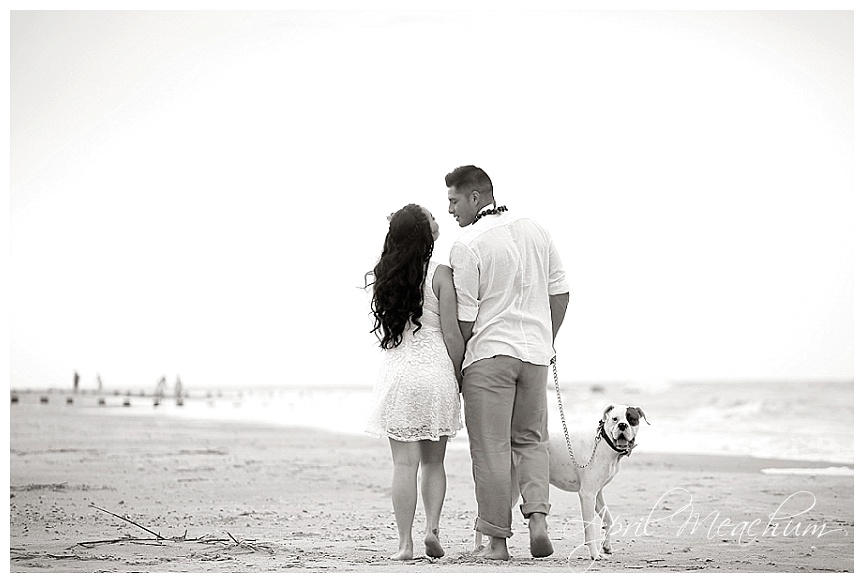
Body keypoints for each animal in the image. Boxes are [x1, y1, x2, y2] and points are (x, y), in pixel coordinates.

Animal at [472, 406, 648, 560]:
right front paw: (595, 554)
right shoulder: (587, 495)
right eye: (615, 419)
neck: (604, 444)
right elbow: (590, 528)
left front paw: (607, 546)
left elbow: (609, 520)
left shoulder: (596, 494)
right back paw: (480, 549)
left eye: (632, 419)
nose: (622, 425)